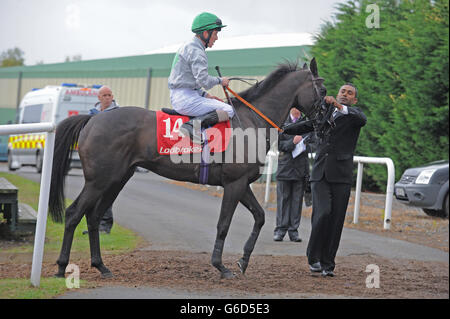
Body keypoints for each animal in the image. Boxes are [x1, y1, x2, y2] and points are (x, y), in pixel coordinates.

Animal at [49, 58, 326, 278]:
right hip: (99, 180)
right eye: (322, 90)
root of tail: (93, 118)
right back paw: (62, 267)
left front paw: (243, 261)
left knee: (94, 216)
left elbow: (259, 217)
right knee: (74, 214)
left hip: (117, 179)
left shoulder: (241, 184)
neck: (250, 122)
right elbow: (224, 224)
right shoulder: (234, 184)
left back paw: (101, 266)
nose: (326, 121)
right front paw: (220, 266)